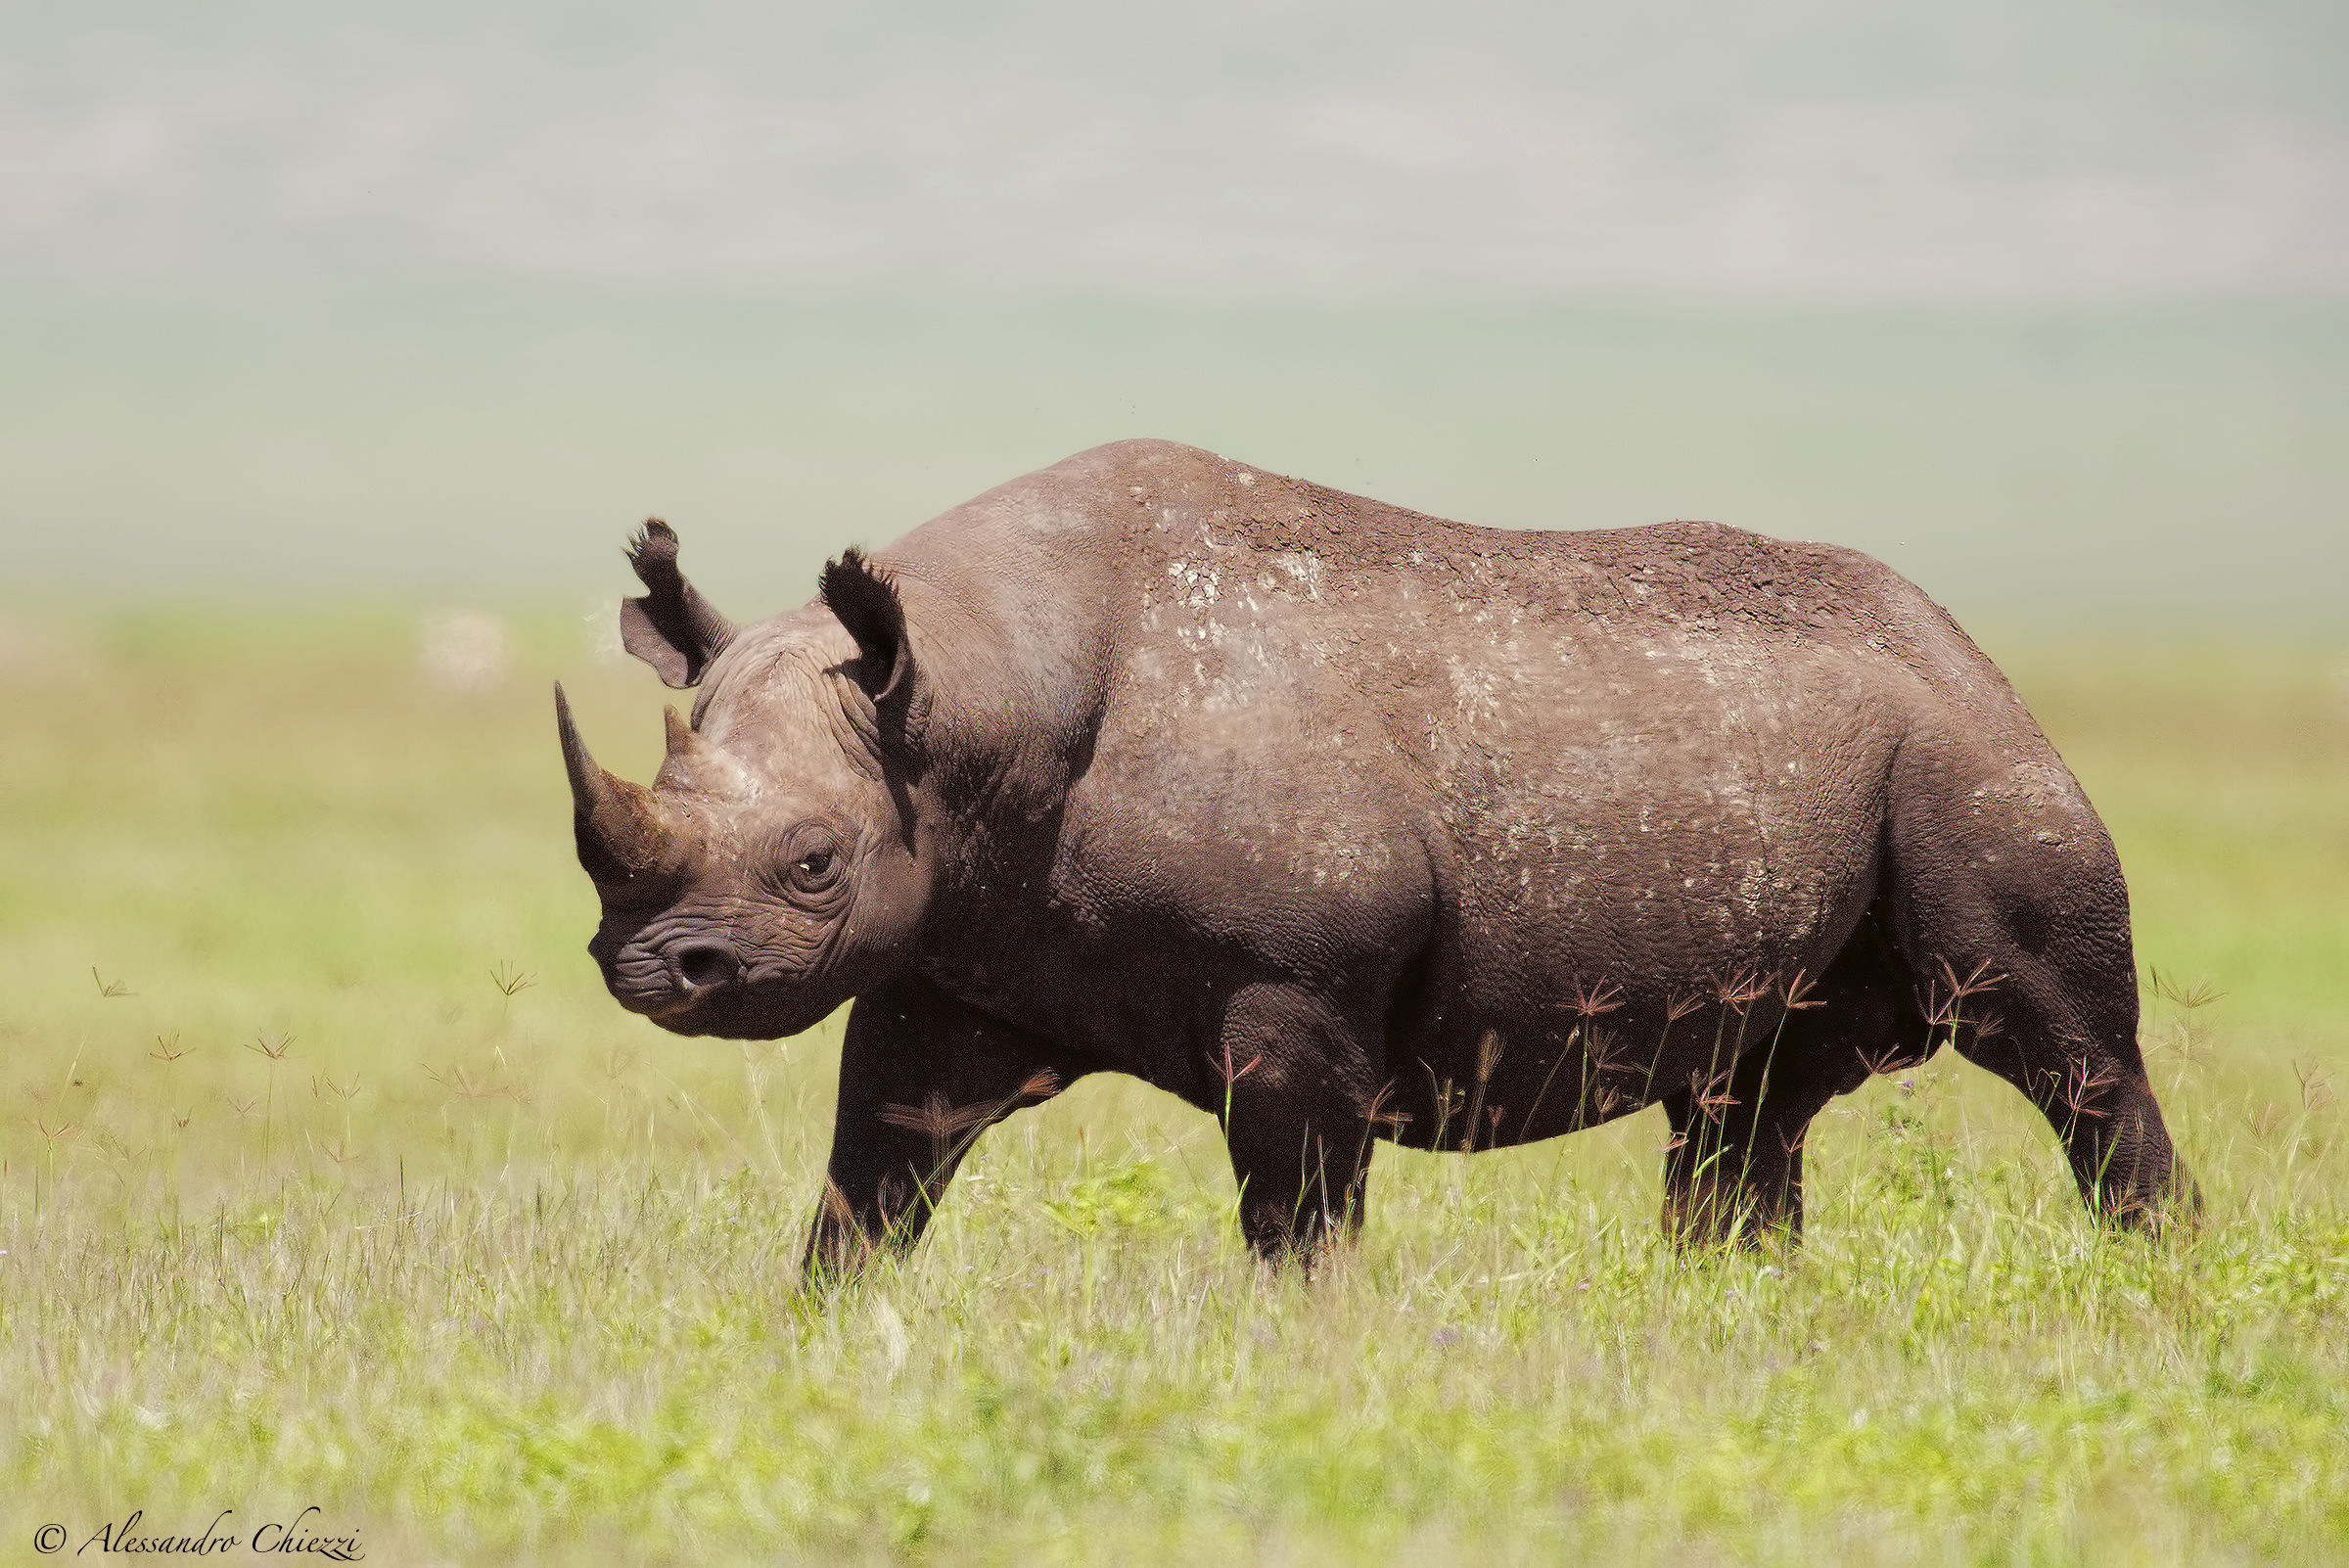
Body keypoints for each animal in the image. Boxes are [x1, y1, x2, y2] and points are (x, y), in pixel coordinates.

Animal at [556, 439, 2195, 1275]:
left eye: (815, 861)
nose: (650, 968)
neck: (961, 699)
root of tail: (1962, 642)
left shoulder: (1297, 982)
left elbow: (1297, 1211)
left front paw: (1310, 1351)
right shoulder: (951, 957)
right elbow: (871, 1176)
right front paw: (830, 1333)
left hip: (1971, 755)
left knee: (2066, 1046)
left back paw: (2156, 1284)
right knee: (1750, 1103)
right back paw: (1730, 1300)